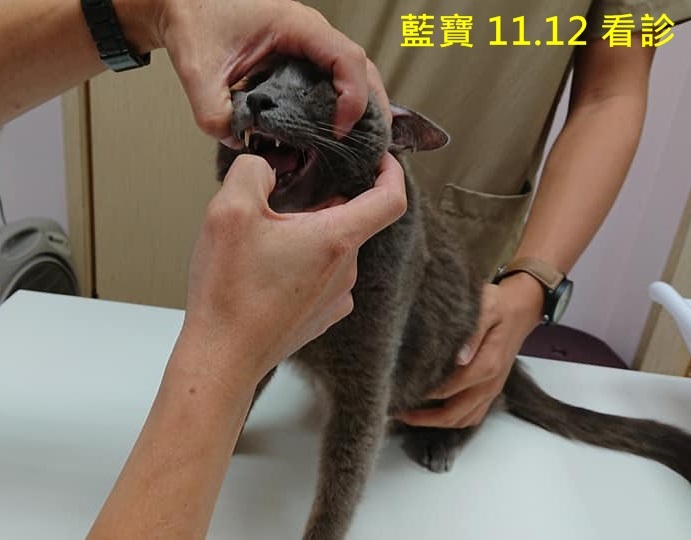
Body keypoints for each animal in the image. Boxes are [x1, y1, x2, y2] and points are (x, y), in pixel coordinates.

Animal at [216, 56, 691, 540]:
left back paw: (440, 441)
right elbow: (241, 391)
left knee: (485, 405)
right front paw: (226, 447)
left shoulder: (371, 366)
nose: (257, 98)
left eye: (321, 88)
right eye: (258, 78)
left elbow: (345, 472)